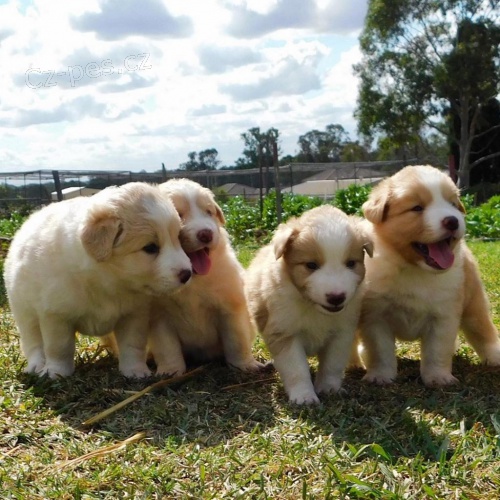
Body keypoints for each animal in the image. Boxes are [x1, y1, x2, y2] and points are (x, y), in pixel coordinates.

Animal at [3, 182, 191, 376]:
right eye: (151, 248)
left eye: (177, 238)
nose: (187, 274)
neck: (106, 280)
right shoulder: (56, 315)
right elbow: (59, 348)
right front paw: (56, 372)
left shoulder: (134, 314)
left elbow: (132, 345)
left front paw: (135, 371)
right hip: (24, 312)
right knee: (33, 342)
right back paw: (36, 365)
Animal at [147, 178, 264, 376]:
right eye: (178, 214)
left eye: (209, 212)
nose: (206, 233)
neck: (193, 280)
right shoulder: (160, 317)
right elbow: (167, 348)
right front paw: (170, 371)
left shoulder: (230, 308)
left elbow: (236, 342)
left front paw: (245, 365)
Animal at [244, 205, 374, 404]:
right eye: (311, 265)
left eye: (351, 263)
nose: (336, 297)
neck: (313, 307)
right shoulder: (284, 333)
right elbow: (296, 369)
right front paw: (304, 396)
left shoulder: (341, 332)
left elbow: (333, 364)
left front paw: (329, 389)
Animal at [358, 165, 500, 386]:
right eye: (417, 208)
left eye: (452, 205)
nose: (453, 221)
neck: (415, 269)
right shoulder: (375, 316)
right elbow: (380, 351)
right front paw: (380, 376)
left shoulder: (443, 315)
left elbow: (436, 351)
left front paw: (438, 378)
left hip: (473, 303)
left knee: (482, 330)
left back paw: (494, 357)